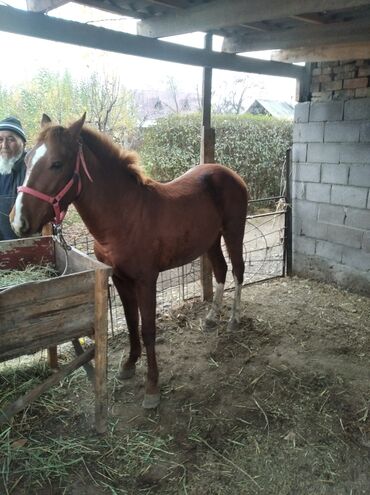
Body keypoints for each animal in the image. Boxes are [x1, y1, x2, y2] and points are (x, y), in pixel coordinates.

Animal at [10, 114, 249, 408]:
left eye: (57, 163)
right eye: (27, 160)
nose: (18, 221)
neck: (125, 215)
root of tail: (230, 174)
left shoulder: (146, 281)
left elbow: (148, 329)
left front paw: (152, 387)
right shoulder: (120, 279)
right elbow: (131, 321)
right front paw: (129, 364)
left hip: (233, 231)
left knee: (238, 270)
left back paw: (234, 319)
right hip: (211, 240)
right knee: (221, 270)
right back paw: (212, 317)